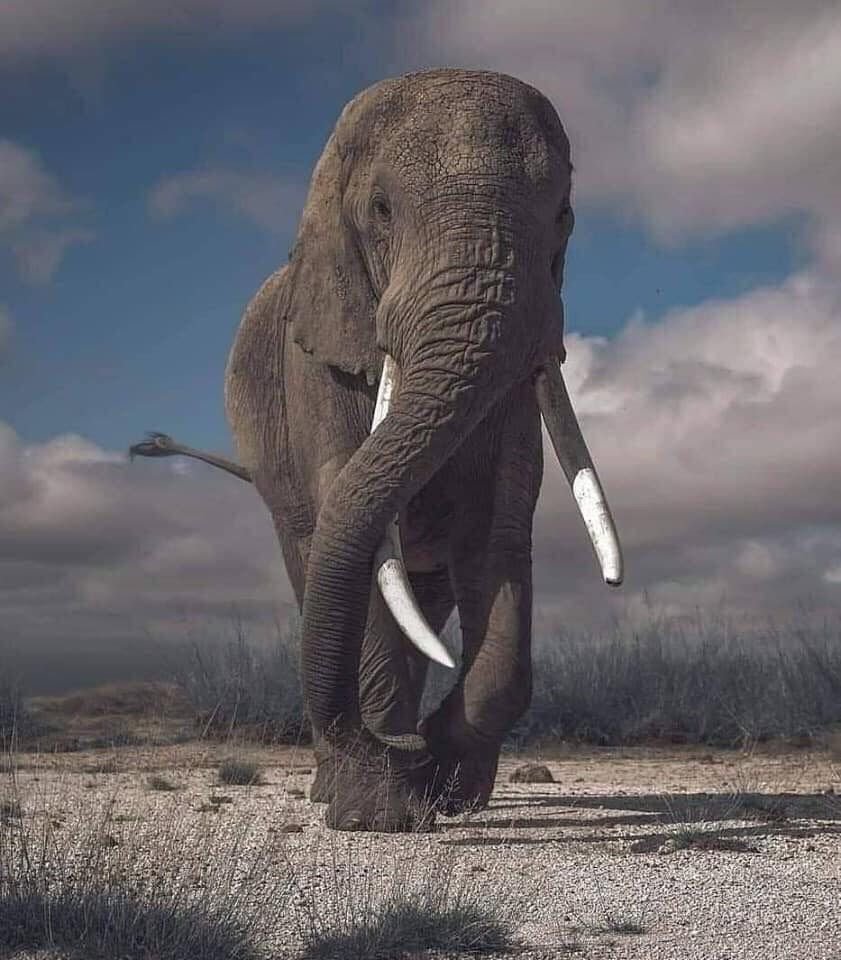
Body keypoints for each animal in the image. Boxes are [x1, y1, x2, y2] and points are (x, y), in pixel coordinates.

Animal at [131, 68, 623, 832]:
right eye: (382, 209)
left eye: (564, 215)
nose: (398, 751)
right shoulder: (313, 357)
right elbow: (351, 529)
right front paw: (377, 807)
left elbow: (496, 534)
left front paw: (438, 780)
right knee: (317, 563)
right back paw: (347, 783)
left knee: (420, 599)